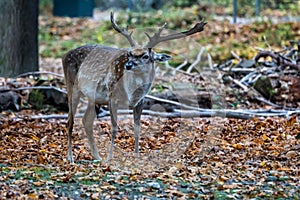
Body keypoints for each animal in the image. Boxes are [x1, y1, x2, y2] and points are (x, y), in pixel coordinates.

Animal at [62, 12, 205, 162]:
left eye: (146, 56)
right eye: (129, 54)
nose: (128, 65)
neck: (131, 92)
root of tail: (65, 55)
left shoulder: (140, 101)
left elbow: (137, 128)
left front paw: (136, 155)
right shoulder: (112, 96)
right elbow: (114, 127)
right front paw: (110, 157)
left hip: (94, 98)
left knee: (86, 120)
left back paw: (97, 156)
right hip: (72, 86)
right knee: (70, 121)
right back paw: (70, 157)